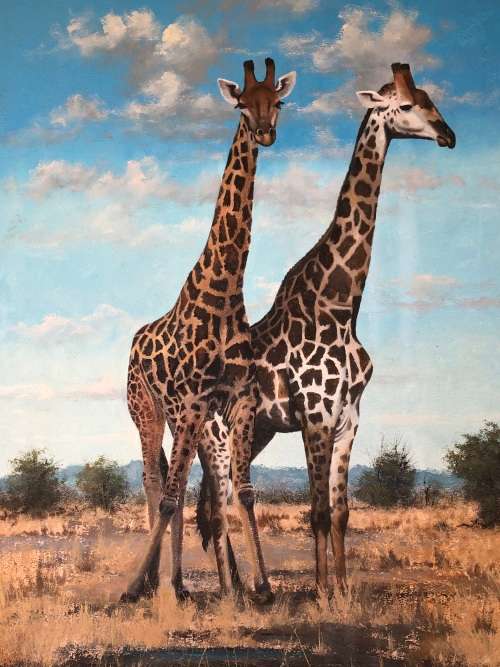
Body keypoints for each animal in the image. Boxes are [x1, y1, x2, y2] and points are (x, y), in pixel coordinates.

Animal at [121, 58, 296, 602]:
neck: (223, 290)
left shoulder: (236, 401)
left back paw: (183, 585)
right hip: (149, 409)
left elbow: (243, 492)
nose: (265, 132)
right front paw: (134, 588)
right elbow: (170, 496)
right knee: (154, 482)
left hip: (188, 420)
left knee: (184, 487)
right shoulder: (192, 402)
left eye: (278, 101)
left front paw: (260, 588)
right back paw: (152, 584)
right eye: (241, 103)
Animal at [194, 63, 456, 598]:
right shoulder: (314, 413)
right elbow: (314, 511)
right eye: (405, 105)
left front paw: (343, 590)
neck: (341, 305)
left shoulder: (349, 416)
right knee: (214, 503)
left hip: (258, 433)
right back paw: (236, 590)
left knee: (215, 504)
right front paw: (319, 594)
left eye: (431, 100)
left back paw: (239, 588)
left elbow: (340, 511)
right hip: (218, 435)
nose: (448, 135)